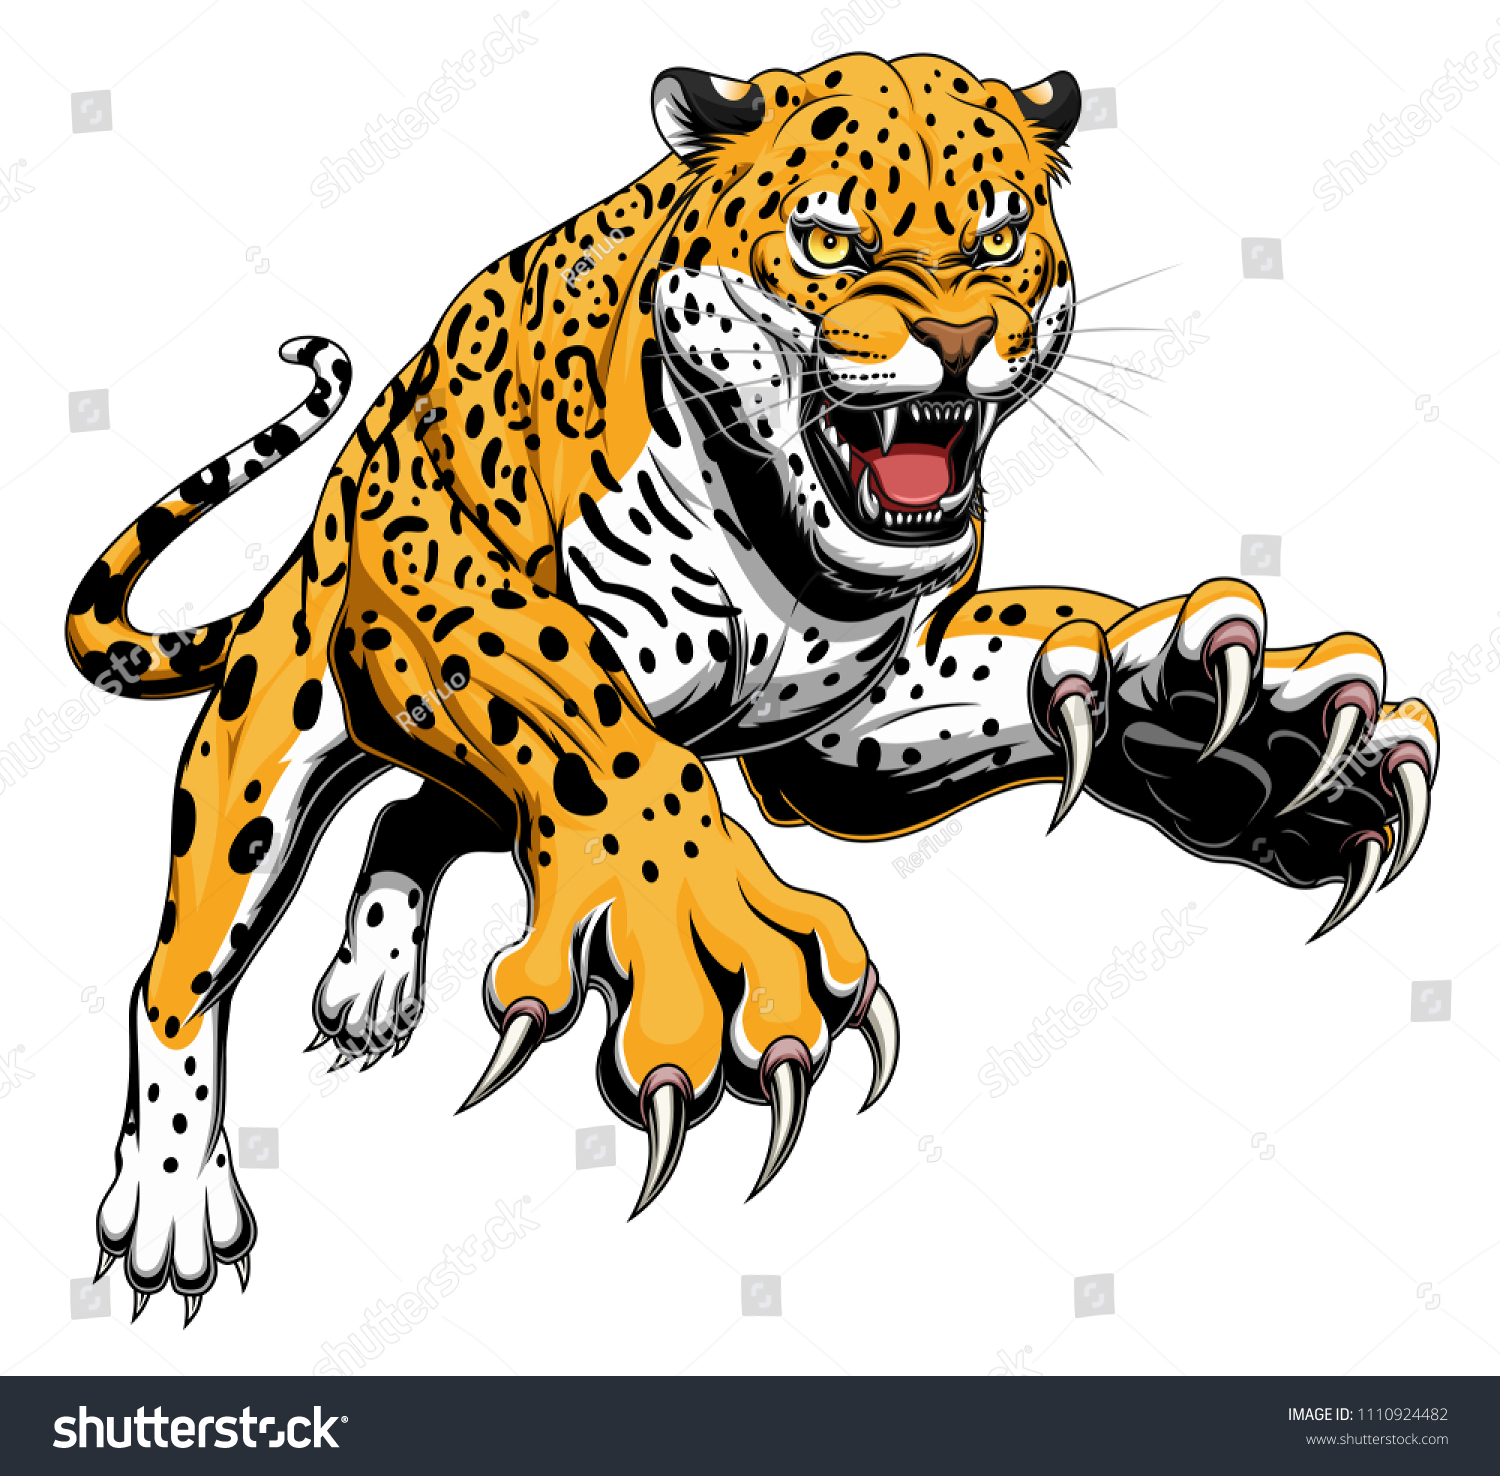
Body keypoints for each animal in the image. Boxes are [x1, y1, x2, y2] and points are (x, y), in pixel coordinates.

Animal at [64, 53, 1439, 1325]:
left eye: (999, 237)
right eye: (829, 242)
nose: (958, 343)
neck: (781, 537)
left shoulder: (841, 731)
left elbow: (1025, 649)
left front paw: (1238, 731)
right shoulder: (439, 577)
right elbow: (602, 735)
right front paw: (709, 944)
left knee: (415, 814)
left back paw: (370, 987)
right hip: (259, 758)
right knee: (176, 979)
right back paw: (173, 1209)